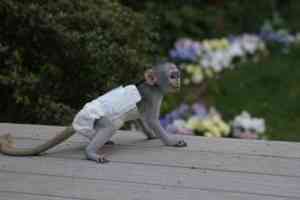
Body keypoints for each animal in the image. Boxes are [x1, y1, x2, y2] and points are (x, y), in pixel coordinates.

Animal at [0, 61, 186, 163]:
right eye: (172, 76)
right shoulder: (152, 96)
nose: (178, 81)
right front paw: (171, 141)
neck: (153, 86)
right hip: (97, 119)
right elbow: (152, 120)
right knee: (110, 126)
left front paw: (150, 135)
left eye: (177, 74)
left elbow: (139, 117)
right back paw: (90, 152)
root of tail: (78, 118)